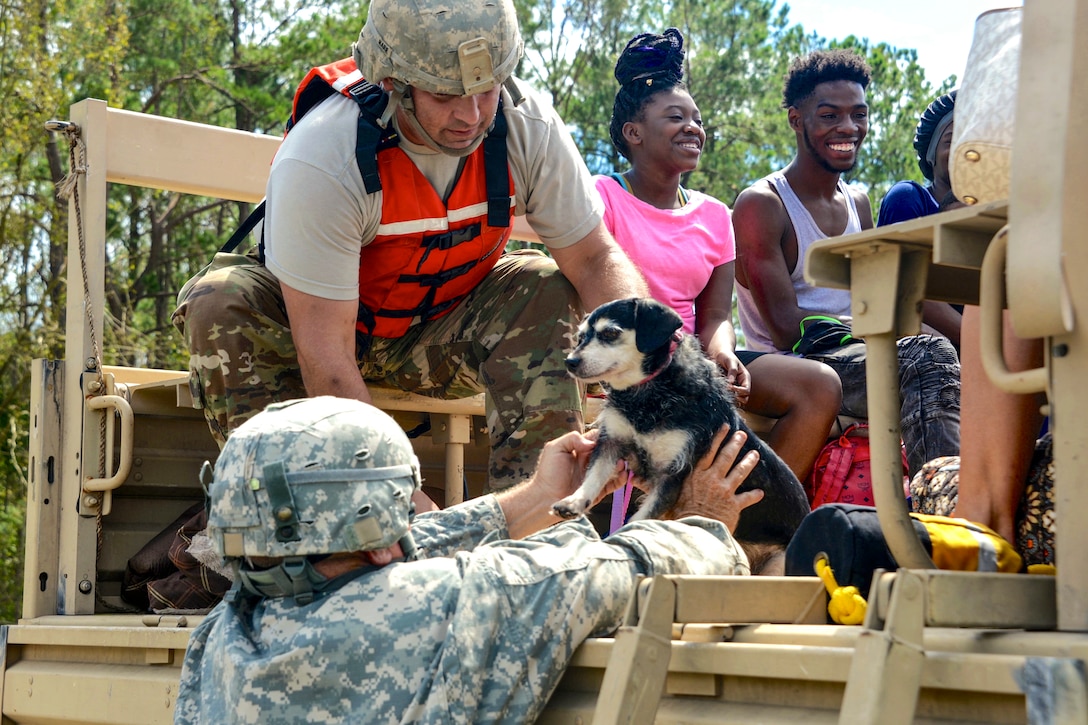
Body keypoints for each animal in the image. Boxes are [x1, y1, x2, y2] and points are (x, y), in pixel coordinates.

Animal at [557, 293, 813, 553]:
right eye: (580, 337)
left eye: (610, 333)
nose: (570, 361)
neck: (647, 393)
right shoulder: (612, 441)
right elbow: (593, 476)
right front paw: (574, 501)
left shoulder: (671, 473)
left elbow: (638, 520)